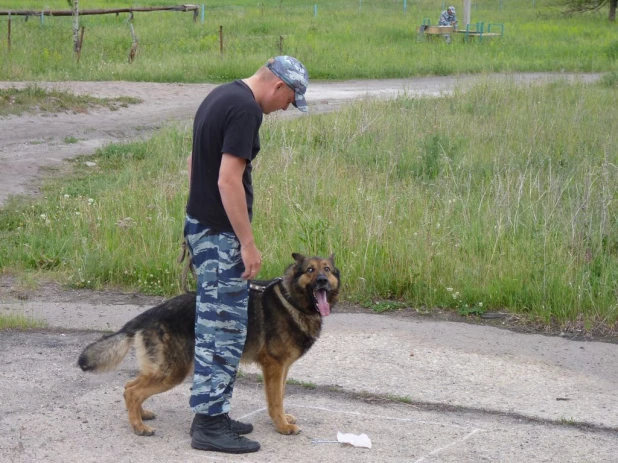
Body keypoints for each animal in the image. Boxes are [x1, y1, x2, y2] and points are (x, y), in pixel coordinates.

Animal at [77, 254, 340, 438]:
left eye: (326, 269)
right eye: (310, 270)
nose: (322, 281)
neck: (291, 299)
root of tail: (149, 314)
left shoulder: (282, 368)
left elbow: (281, 396)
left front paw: (284, 419)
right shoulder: (274, 367)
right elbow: (275, 400)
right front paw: (282, 426)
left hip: (162, 370)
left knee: (129, 386)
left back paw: (141, 415)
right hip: (173, 372)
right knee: (132, 391)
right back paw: (138, 427)